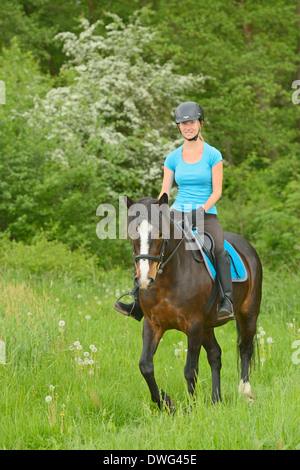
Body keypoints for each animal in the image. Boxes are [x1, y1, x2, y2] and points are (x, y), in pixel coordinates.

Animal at [124, 193, 262, 410]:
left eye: (161, 233)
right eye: (132, 233)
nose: (145, 280)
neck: (169, 279)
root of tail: (247, 247)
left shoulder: (194, 325)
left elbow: (190, 370)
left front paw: (190, 408)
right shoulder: (153, 324)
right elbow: (145, 365)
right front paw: (166, 403)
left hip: (248, 313)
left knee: (245, 349)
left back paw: (245, 392)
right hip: (207, 326)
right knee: (215, 355)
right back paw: (216, 399)